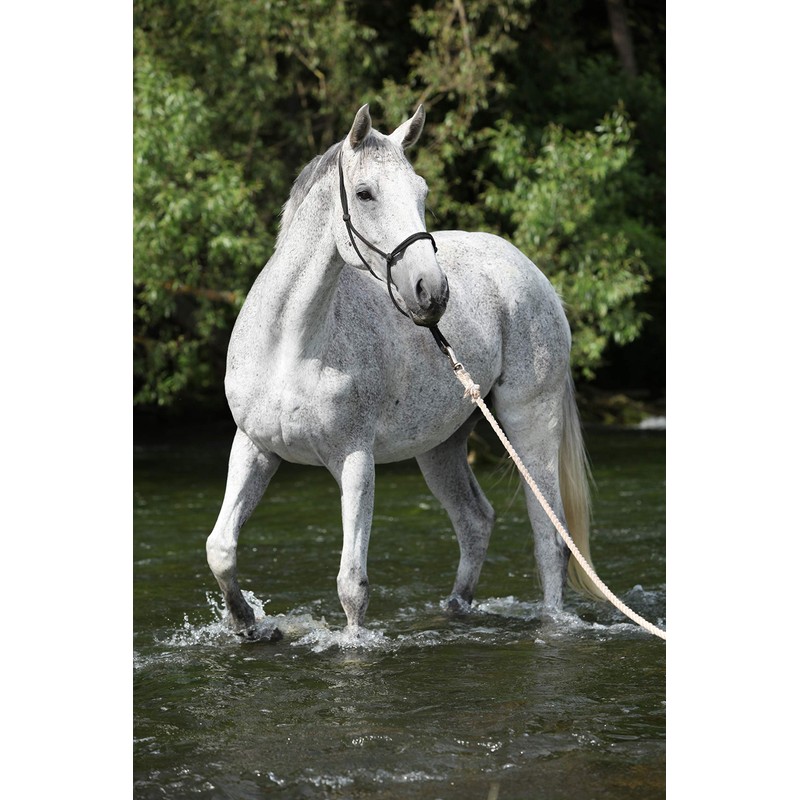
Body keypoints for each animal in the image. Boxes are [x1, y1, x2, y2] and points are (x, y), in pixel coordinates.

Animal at [206, 104, 604, 641]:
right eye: (364, 193)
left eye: (421, 192)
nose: (431, 292)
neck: (290, 345)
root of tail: (530, 271)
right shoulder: (254, 447)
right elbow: (221, 549)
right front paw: (248, 625)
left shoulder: (355, 459)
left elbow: (352, 585)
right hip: (441, 448)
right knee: (475, 521)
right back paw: (455, 610)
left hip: (530, 427)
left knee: (550, 538)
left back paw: (552, 623)